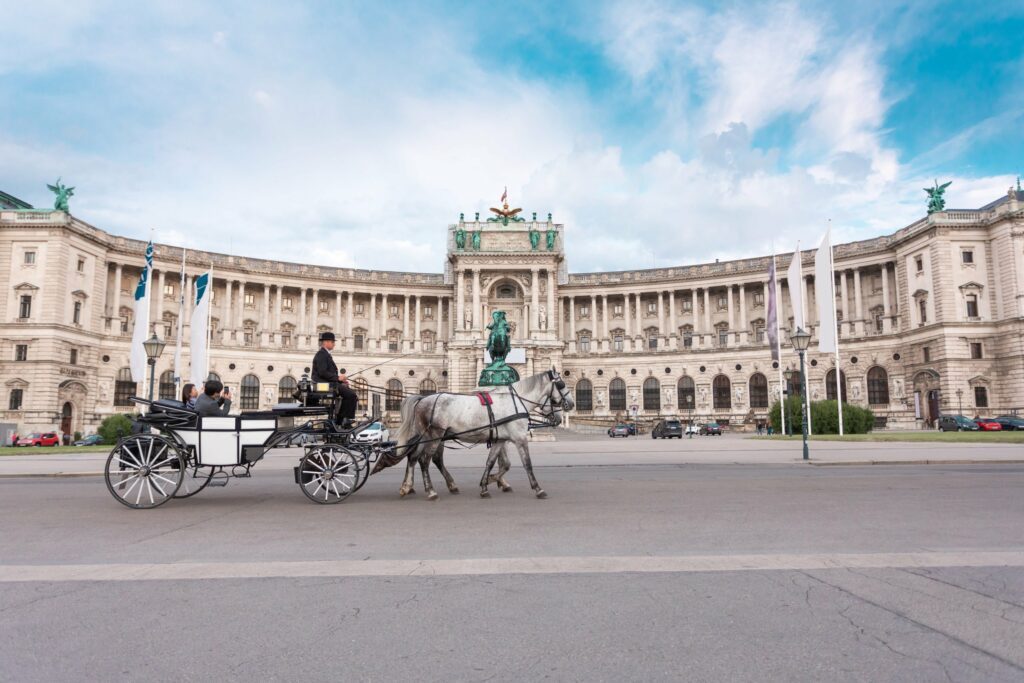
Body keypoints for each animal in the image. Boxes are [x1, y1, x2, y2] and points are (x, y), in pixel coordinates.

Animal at [391, 370, 573, 499]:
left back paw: (408, 487)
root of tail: (423, 399)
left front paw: (486, 484)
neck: (515, 401)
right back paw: (430, 491)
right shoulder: (520, 438)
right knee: (424, 460)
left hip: (425, 436)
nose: (570, 405)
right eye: (562, 384)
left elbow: (492, 462)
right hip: (435, 436)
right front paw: (538, 488)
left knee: (414, 457)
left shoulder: (500, 440)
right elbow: (527, 464)